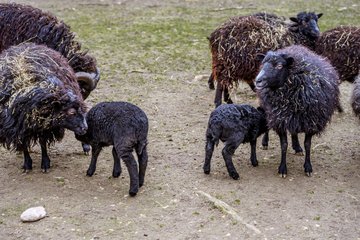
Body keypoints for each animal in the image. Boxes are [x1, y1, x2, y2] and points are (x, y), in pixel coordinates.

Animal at [0, 42, 88, 172]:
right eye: (71, 112)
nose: (85, 128)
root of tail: (25, 44)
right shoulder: (17, 126)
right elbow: (23, 143)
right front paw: (27, 164)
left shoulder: (44, 125)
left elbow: (42, 142)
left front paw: (45, 164)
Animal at [255, 45, 338, 177]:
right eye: (262, 64)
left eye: (279, 66)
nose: (258, 80)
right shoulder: (279, 119)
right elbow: (284, 145)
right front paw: (282, 168)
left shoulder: (311, 121)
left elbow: (308, 145)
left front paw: (308, 167)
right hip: (268, 108)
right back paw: (265, 142)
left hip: (294, 117)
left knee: (294, 131)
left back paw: (297, 147)